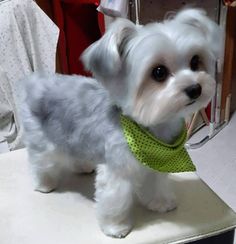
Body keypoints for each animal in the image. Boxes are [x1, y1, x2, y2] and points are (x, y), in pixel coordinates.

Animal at [21, 8, 221, 238]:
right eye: (159, 72)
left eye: (195, 61)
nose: (195, 88)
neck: (151, 131)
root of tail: (34, 80)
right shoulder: (116, 171)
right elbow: (115, 201)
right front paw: (115, 227)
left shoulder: (156, 162)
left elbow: (156, 184)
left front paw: (160, 203)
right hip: (41, 140)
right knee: (40, 161)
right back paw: (44, 183)